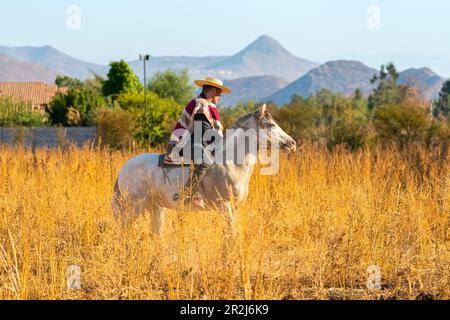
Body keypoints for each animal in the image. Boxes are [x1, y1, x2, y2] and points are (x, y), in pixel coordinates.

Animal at [111, 104, 296, 238]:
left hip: (155, 208)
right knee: (123, 231)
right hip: (134, 207)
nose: (292, 143)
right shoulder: (224, 206)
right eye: (271, 124)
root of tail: (123, 169)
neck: (231, 163)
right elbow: (230, 235)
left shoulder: (234, 207)